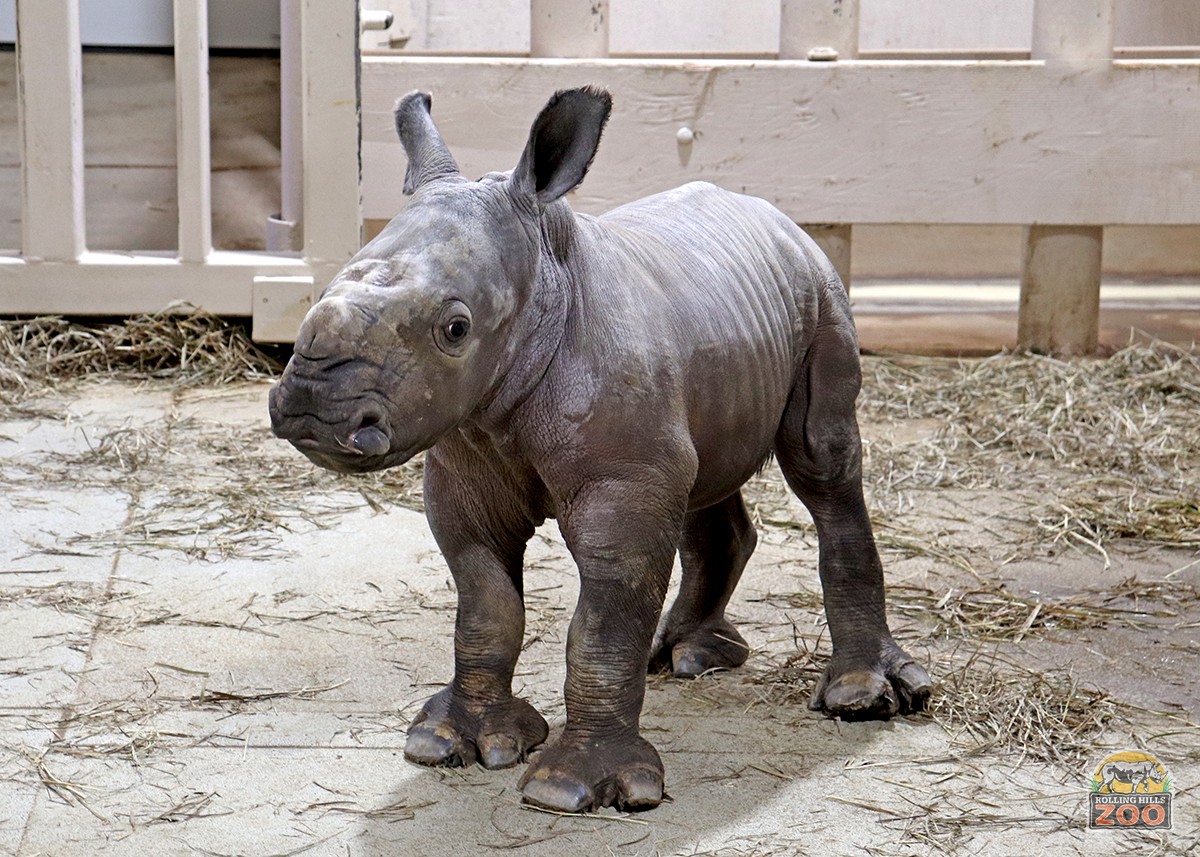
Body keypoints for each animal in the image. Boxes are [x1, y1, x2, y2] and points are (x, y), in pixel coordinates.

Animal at [268, 87, 931, 813]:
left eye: (456, 328)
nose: (310, 404)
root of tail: (782, 219)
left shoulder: (623, 486)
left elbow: (602, 625)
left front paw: (573, 788)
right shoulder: (467, 468)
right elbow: (485, 606)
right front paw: (455, 744)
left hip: (821, 296)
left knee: (823, 468)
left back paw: (861, 697)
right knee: (705, 479)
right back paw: (686, 658)